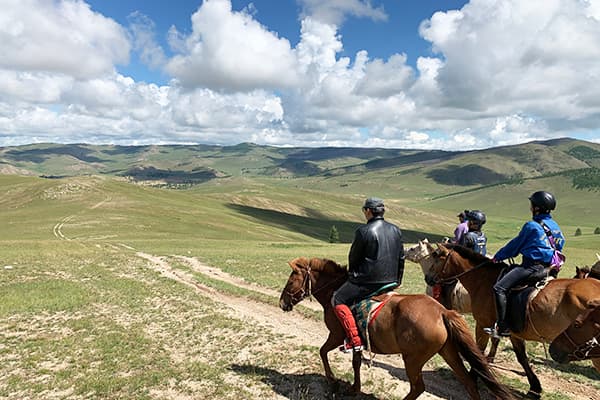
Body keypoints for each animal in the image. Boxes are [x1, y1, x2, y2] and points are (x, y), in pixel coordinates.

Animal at [278, 256, 512, 400]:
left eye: (291, 280)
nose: (282, 303)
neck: (334, 291)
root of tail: (442, 312)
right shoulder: (356, 342)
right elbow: (355, 363)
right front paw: (354, 388)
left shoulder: (336, 335)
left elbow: (323, 352)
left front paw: (333, 380)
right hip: (449, 352)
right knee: (469, 383)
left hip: (413, 359)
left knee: (418, 388)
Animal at [424, 245, 600, 398]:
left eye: (437, 258)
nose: (427, 278)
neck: (483, 280)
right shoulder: (514, 333)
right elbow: (522, 358)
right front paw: (535, 388)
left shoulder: (482, 324)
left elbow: (478, 352)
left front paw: (473, 377)